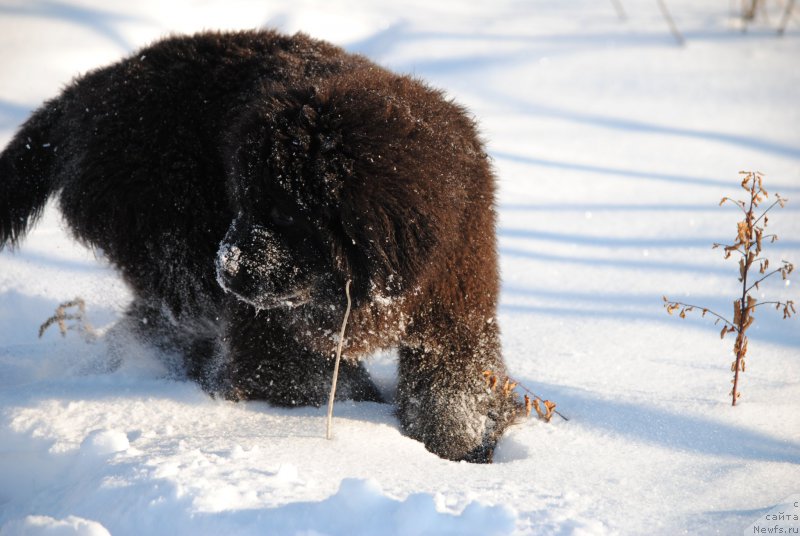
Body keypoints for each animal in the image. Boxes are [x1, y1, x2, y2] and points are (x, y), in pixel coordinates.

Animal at [0, 31, 520, 462]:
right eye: (242, 200)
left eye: (286, 213)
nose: (226, 271)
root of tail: (84, 94)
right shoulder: (268, 331)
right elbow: (311, 381)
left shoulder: (454, 312)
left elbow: (453, 394)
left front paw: (462, 449)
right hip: (174, 252)